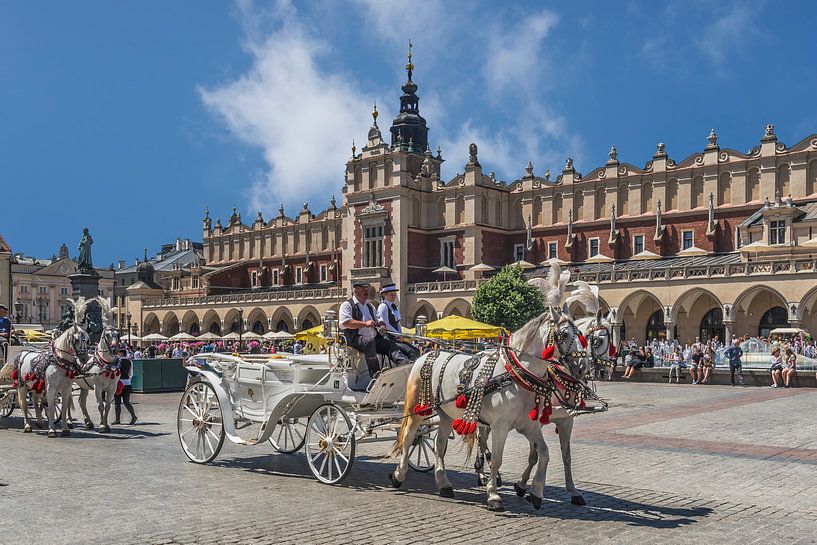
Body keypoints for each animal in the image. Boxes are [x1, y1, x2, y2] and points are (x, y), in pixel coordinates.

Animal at [12, 296, 90, 436]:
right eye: (76, 340)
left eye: (87, 340)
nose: (84, 358)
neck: (60, 362)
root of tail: (22, 352)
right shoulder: (51, 387)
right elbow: (51, 406)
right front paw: (52, 430)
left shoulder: (66, 388)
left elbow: (63, 407)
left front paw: (65, 428)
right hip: (22, 385)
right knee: (23, 405)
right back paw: (27, 425)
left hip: (35, 385)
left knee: (36, 401)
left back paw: (39, 421)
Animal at [71, 296, 120, 432]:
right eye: (107, 335)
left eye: (117, 334)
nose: (114, 349)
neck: (107, 364)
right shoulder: (98, 387)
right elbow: (100, 406)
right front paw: (102, 426)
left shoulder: (112, 388)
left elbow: (108, 406)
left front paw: (106, 425)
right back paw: (68, 421)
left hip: (83, 385)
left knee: (81, 401)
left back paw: (88, 422)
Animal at [388, 262, 592, 510]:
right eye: (562, 335)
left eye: (580, 334)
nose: (581, 368)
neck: (517, 374)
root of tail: (425, 354)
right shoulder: (500, 425)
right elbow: (496, 459)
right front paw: (494, 495)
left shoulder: (529, 425)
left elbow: (544, 454)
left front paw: (535, 492)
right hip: (418, 408)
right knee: (409, 437)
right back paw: (399, 475)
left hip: (444, 413)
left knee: (438, 444)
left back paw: (444, 484)